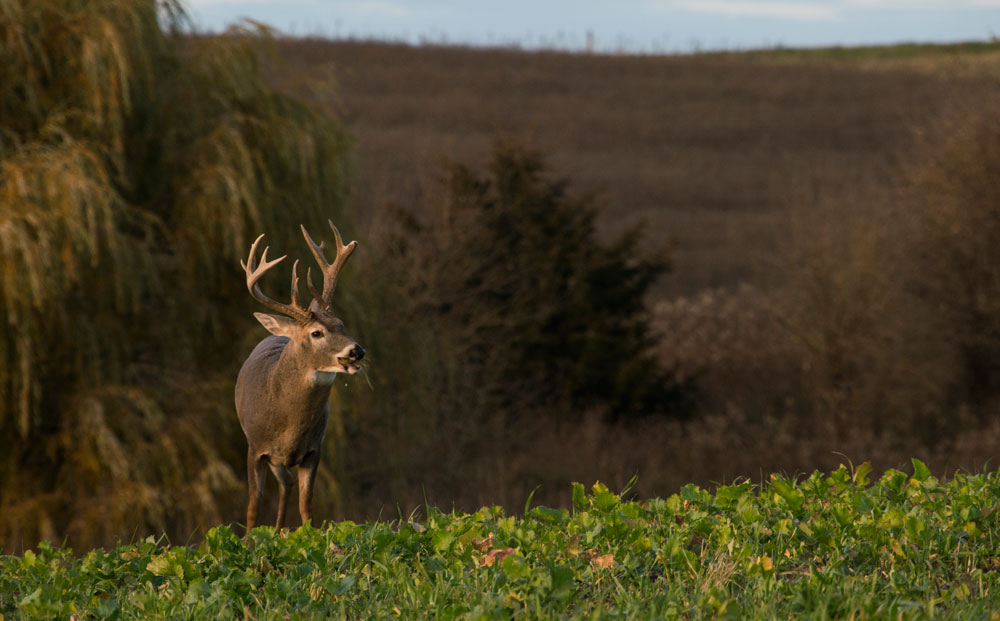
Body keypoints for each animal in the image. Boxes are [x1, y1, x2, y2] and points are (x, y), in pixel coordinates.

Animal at [236, 220, 366, 532]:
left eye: (342, 324)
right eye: (317, 333)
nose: (357, 351)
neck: (288, 426)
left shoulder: (313, 450)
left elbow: (307, 507)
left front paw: (307, 536)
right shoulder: (255, 447)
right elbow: (253, 508)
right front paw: (249, 540)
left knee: (287, 484)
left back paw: (280, 529)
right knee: (284, 483)